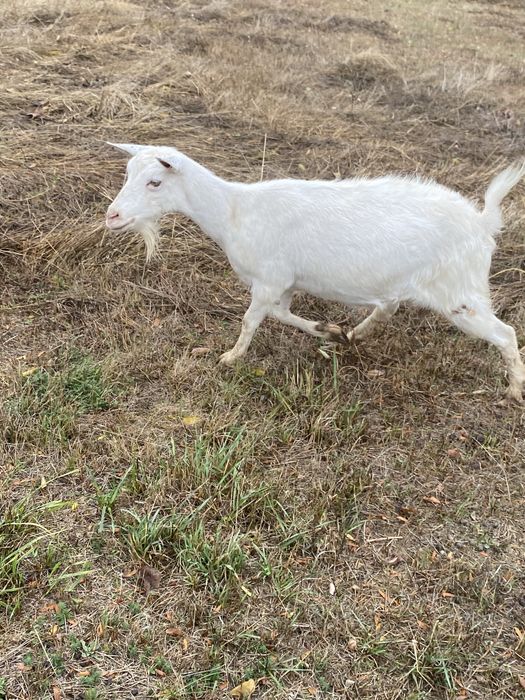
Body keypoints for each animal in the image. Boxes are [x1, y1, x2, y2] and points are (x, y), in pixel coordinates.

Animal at [106, 143, 525, 401]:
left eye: (155, 182)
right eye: (126, 173)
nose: (112, 216)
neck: (233, 211)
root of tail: (483, 223)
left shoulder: (269, 279)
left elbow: (250, 321)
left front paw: (230, 358)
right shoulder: (285, 281)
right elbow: (282, 313)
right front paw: (329, 331)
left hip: (461, 295)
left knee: (505, 333)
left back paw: (514, 390)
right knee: (387, 308)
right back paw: (354, 334)